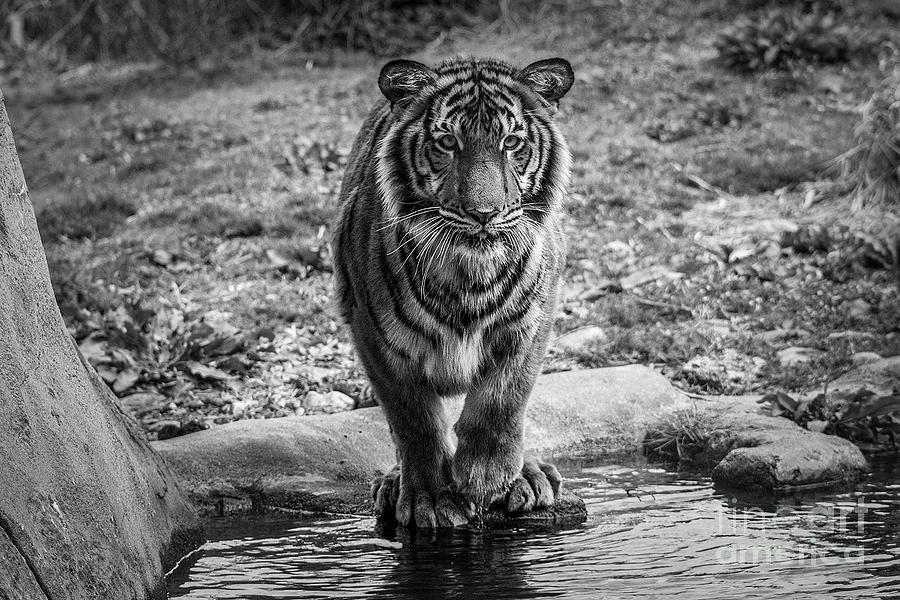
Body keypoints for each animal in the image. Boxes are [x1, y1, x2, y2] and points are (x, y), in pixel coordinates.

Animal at [332, 55, 576, 524]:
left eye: (511, 142)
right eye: (447, 142)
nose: (484, 213)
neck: (469, 272)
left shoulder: (532, 322)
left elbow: (503, 399)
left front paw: (487, 476)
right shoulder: (373, 336)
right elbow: (414, 421)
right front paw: (429, 497)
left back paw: (530, 476)